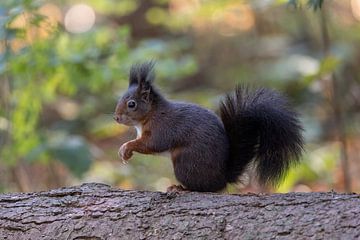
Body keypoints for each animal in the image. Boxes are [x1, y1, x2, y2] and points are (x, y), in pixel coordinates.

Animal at [113, 62, 304, 193]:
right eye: (120, 98)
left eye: (131, 104)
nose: (116, 117)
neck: (151, 114)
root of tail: (222, 178)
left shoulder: (163, 128)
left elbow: (151, 144)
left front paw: (126, 148)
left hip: (185, 163)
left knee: (205, 188)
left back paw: (182, 188)